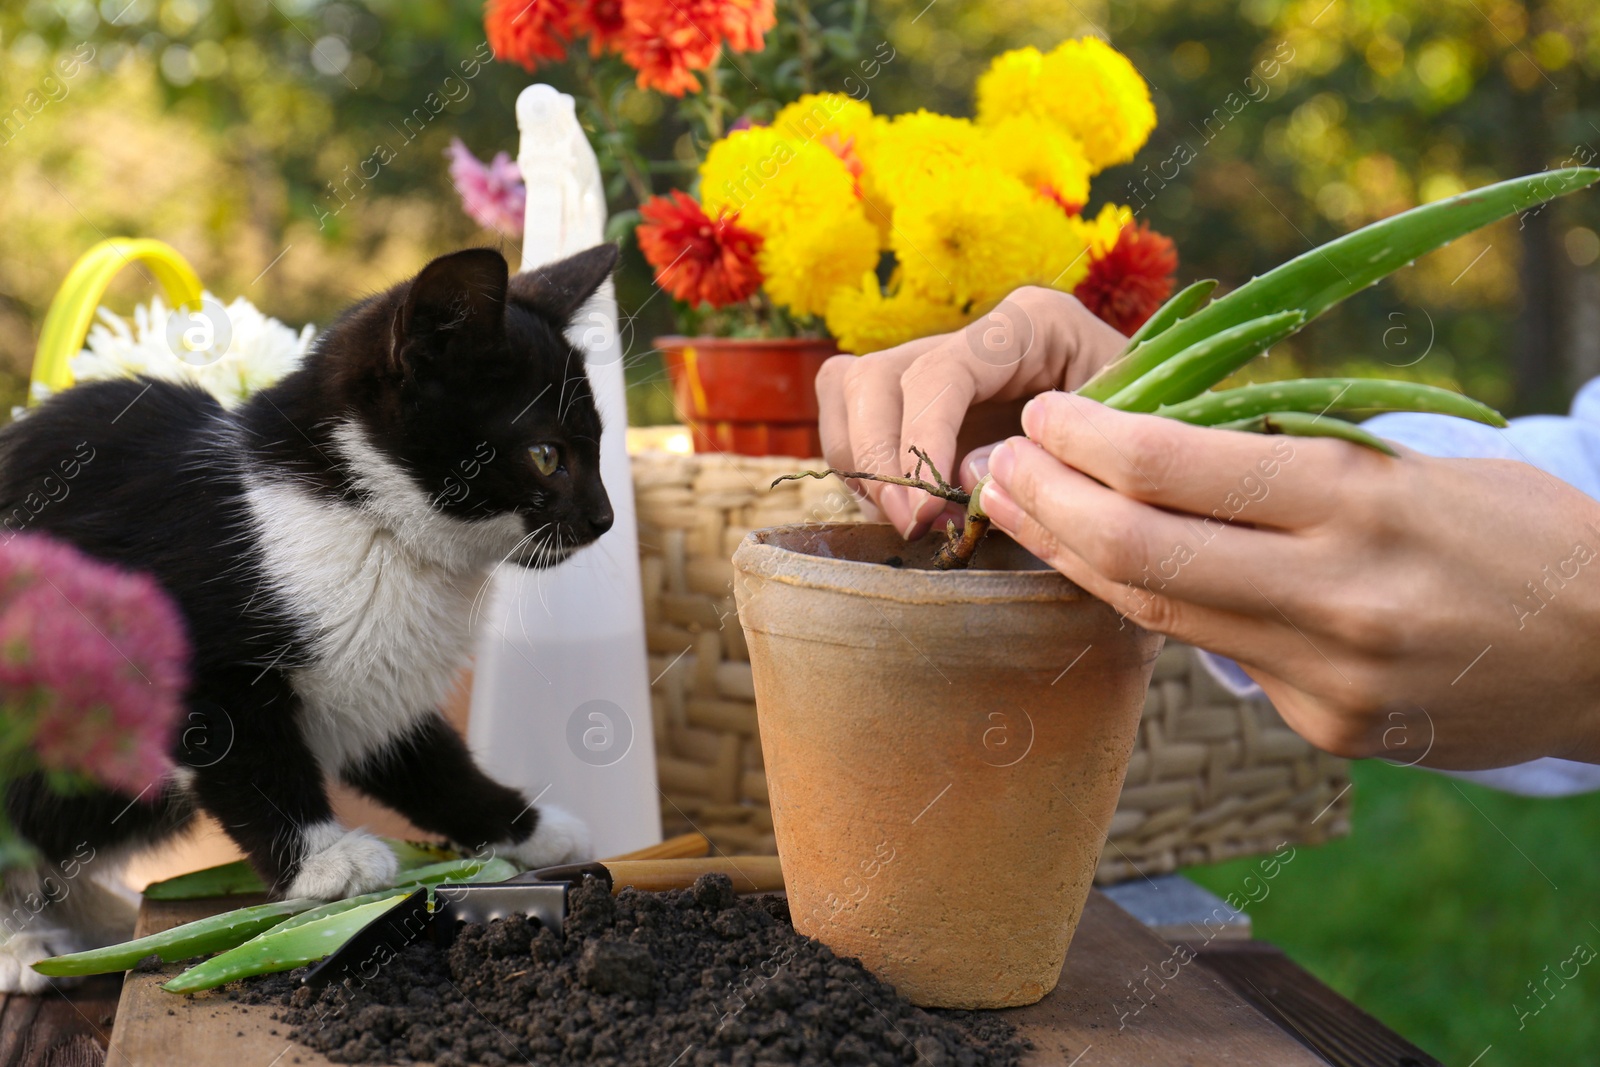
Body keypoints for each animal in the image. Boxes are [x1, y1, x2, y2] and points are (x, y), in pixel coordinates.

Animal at [0, 241, 617, 991]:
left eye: (598, 447)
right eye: (547, 455)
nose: (604, 518)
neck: (368, 522)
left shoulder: (380, 682)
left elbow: (428, 763)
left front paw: (524, 828)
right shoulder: (181, 651)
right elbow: (251, 762)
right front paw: (328, 862)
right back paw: (25, 946)